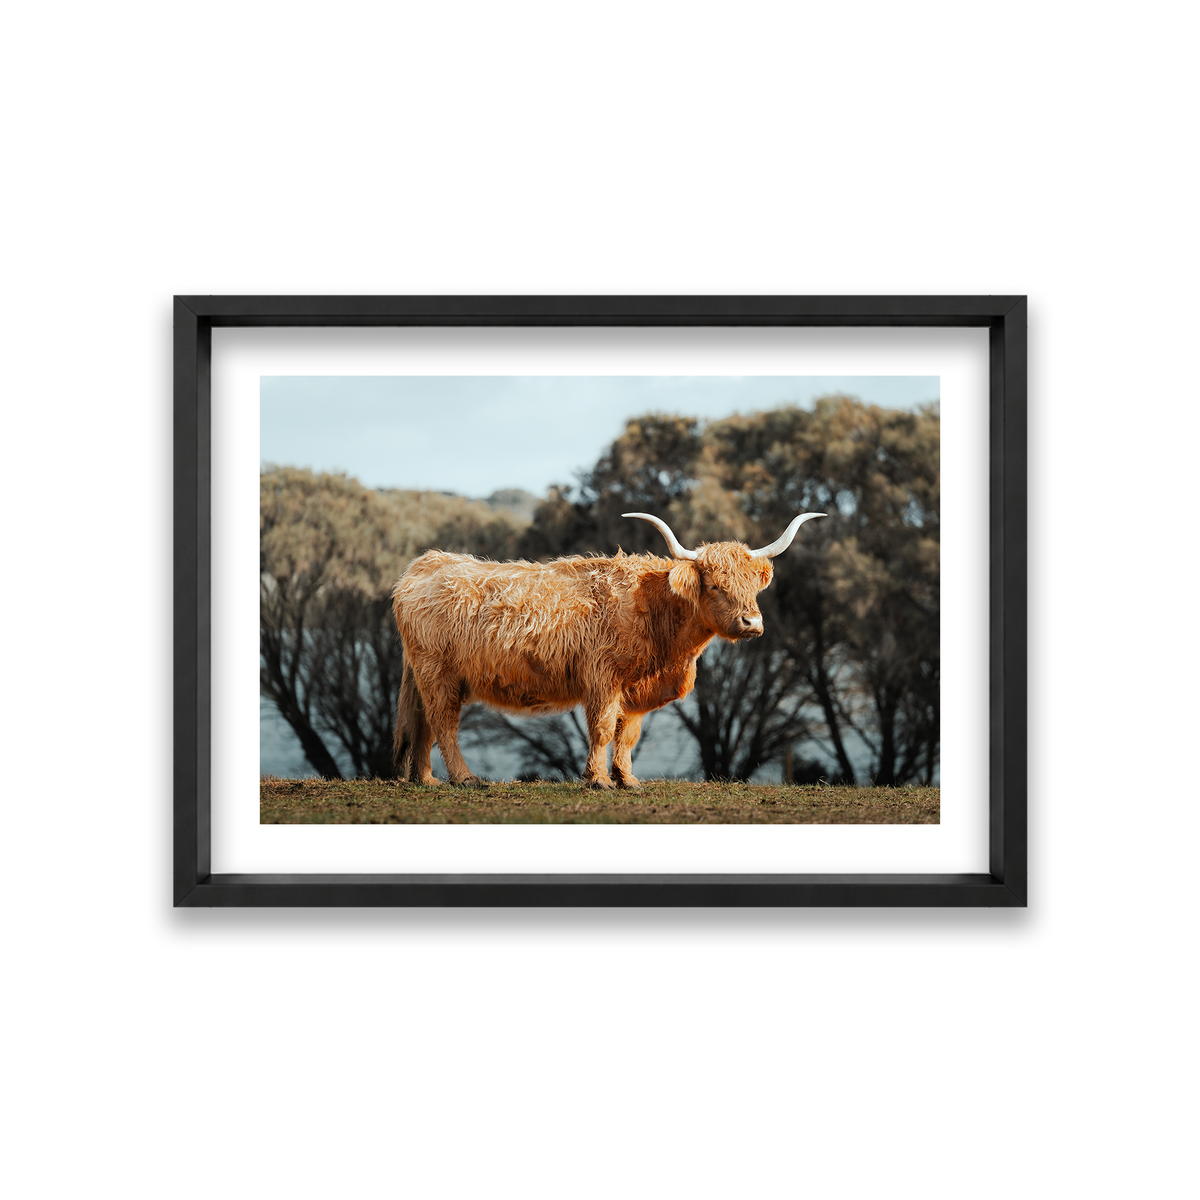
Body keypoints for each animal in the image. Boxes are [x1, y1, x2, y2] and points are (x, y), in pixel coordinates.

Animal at [391, 510, 826, 790]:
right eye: (716, 586)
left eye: (753, 586)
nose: (752, 623)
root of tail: (426, 563)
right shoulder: (603, 678)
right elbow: (601, 729)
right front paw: (598, 780)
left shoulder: (634, 687)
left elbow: (628, 734)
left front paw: (628, 780)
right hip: (438, 672)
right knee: (443, 723)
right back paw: (464, 779)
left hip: (429, 675)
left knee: (424, 724)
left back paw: (426, 779)